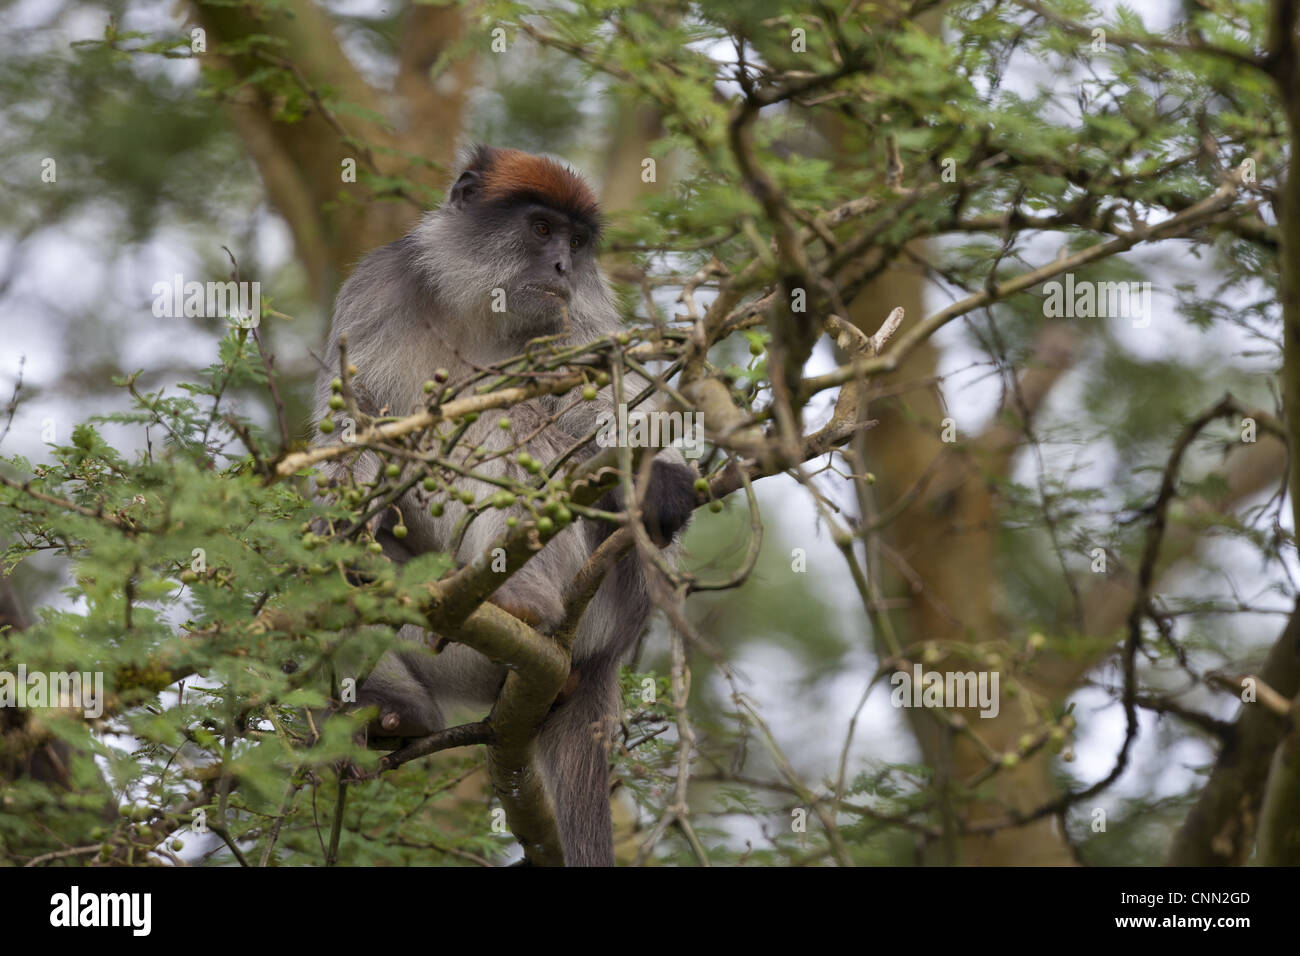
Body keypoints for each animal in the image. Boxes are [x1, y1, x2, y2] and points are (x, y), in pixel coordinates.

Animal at [312, 143, 702, 868]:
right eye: (542, 229)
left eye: (575, 243)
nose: (562, 267)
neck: (477, 313)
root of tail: (604, 655)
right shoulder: (379, 287)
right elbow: (350, 439)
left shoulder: (577, 318)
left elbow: (599, 415)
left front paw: (657, 477)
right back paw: (394, 711)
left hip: (603, 602)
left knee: (513, 428)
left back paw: (525, 600)